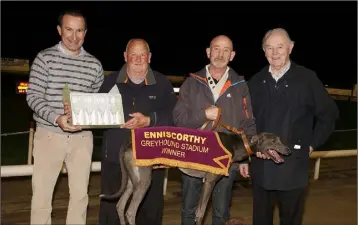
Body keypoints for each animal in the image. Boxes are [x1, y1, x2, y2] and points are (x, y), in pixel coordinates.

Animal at [100, 132, 290, 225]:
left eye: (280, 139)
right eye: (273, 141)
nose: (288, 150)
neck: (236, 143)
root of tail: (127, 142)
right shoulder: (209, 182)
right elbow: (200, 213)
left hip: (133, 180)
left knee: (120, 205)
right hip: (144, 181)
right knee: (131, 211)